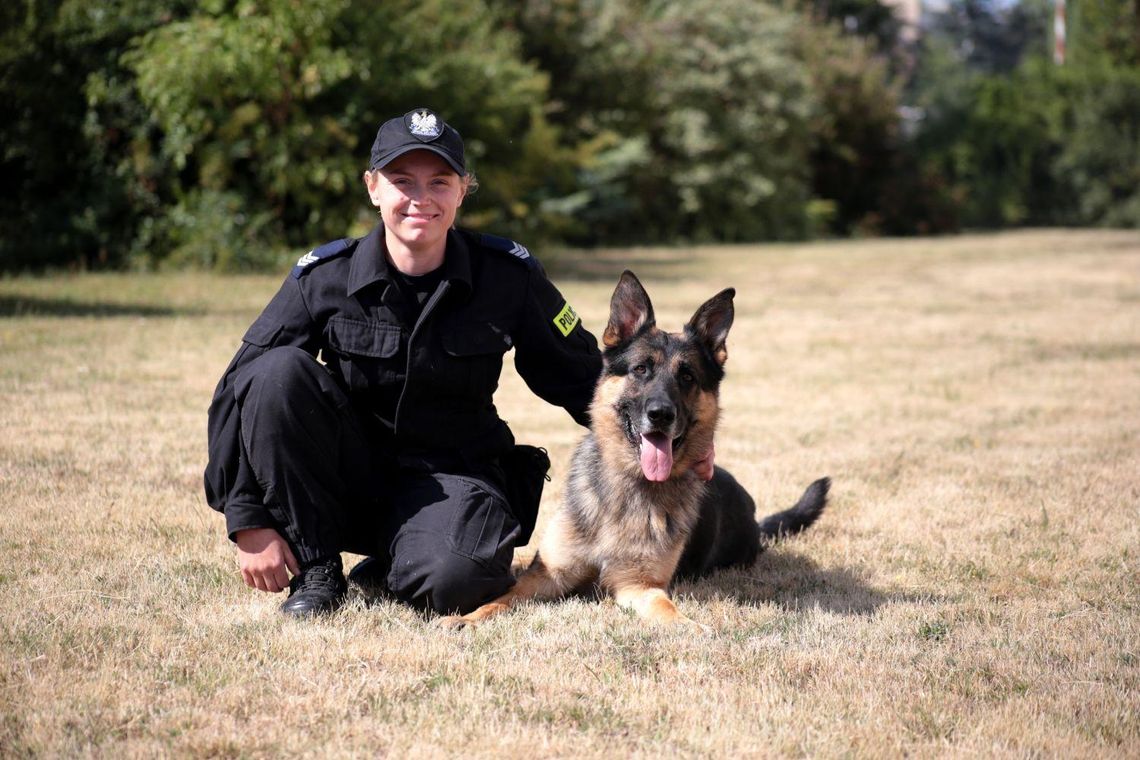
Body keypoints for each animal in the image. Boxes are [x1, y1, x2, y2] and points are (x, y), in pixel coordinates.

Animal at [437, 272, 829, 628]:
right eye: (641, 369)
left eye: (687, 377)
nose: (661, 415)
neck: (628, 488)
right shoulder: (546, 576)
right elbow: (502, 597)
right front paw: (468, 617)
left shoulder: (638, 586)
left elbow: (671, 614)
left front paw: (696, 630)